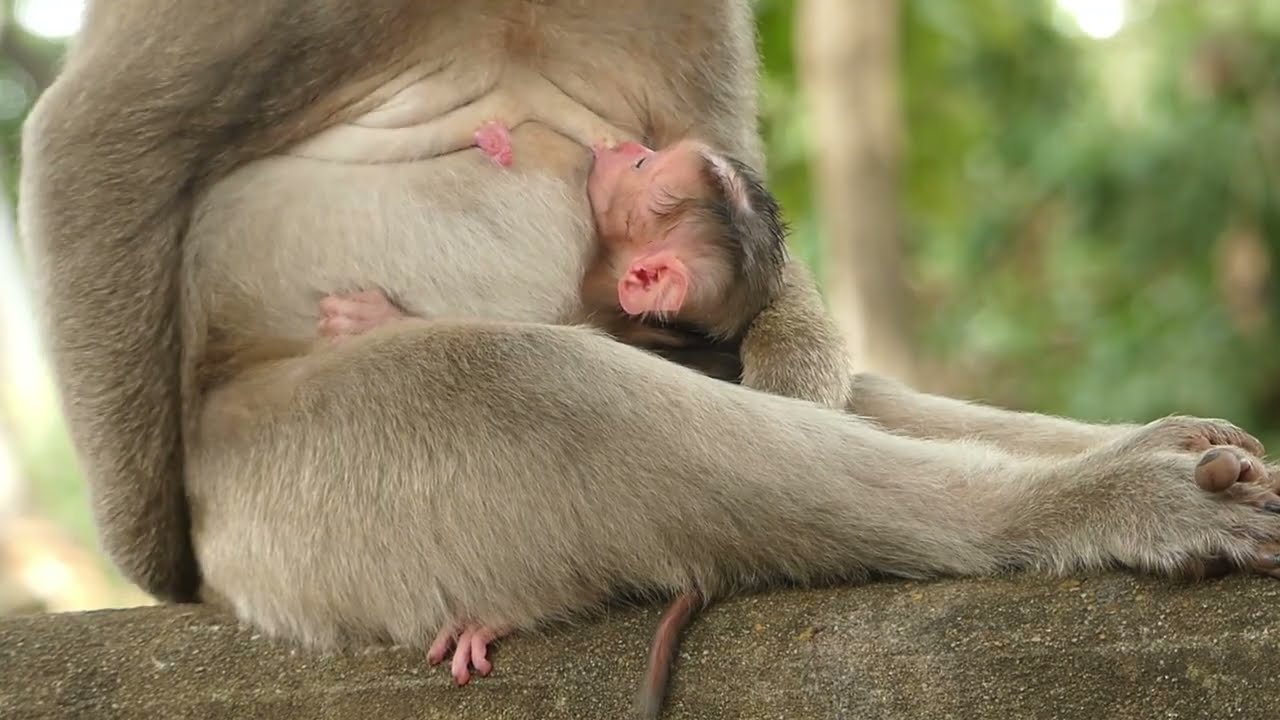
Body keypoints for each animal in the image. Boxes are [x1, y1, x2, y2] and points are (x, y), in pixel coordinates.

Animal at [18, 5, 1280, 720]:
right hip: (286, 497)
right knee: (535, 389)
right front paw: (158, 567)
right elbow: (96, 136)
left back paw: (1126, 475)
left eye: (638, 173)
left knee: (563, 391)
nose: (616, 157)